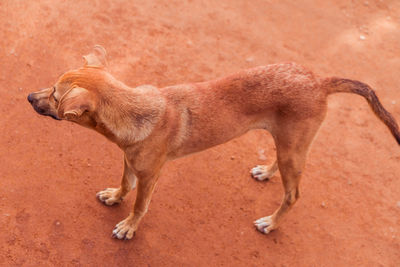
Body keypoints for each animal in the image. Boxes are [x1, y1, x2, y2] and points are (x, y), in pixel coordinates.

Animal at [26, 45, 398, 241]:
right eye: (51, 86)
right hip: (288, 143)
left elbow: (140, 205)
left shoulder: (151, 176)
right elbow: (124, 184)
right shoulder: (130, 162)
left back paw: (271, 223)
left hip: (293, 151)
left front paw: (129, 226)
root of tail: (320, 81)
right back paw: (266, 172)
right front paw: (115, 196)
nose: (29, 97)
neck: (136, 110)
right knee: (282, 164)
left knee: (293, 194)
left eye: (55, 95)